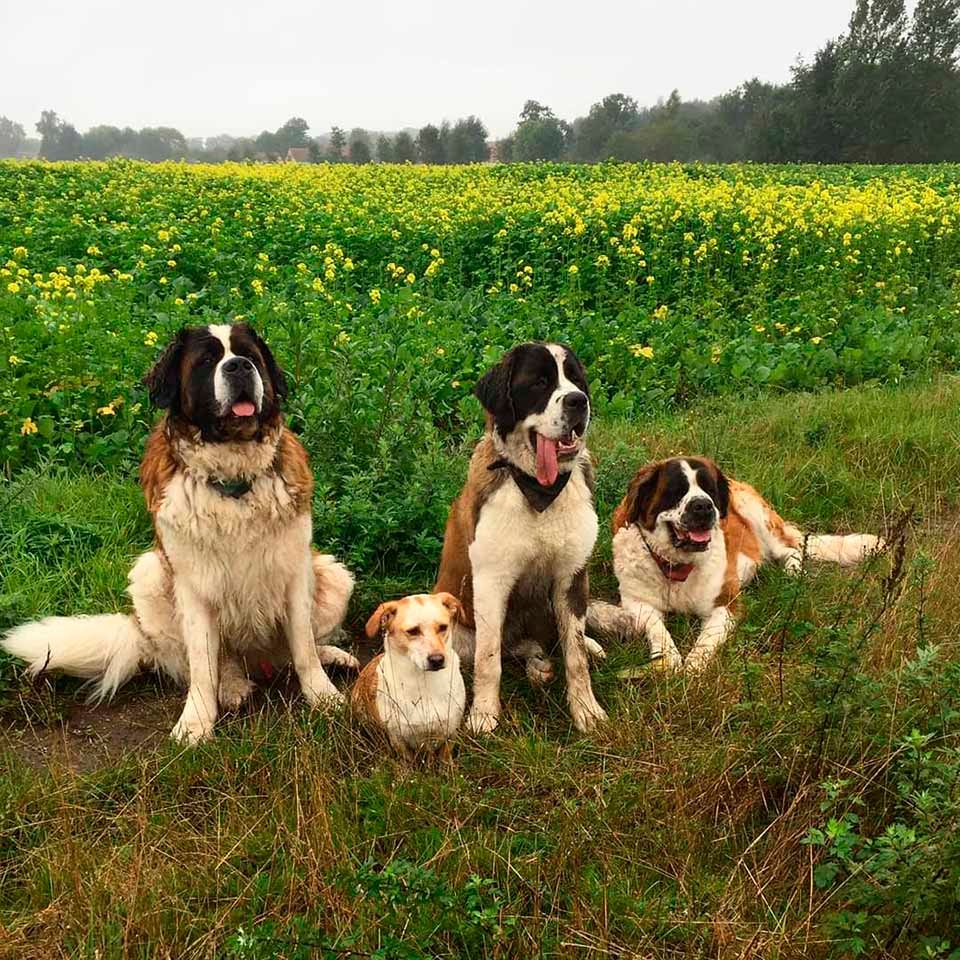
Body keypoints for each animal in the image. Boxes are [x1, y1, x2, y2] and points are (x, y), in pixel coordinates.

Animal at [1, 322, 358, 744]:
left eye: (250, 356)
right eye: (206, 361)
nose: (238, 367)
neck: (233, 481)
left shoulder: (295, 568)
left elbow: (302, 646)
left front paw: (324, 697)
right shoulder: (192, 584)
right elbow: (203, 664)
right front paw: (196, 722)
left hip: (334, 575)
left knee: (293, 650)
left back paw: (331, 656)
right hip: (149, 575)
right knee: (208, 662)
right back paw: (232, 686)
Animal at [352, 588, 468, 760]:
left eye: (443, 627)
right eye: (413, 631)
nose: (437, 660)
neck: (424, 682)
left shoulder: (450, 732)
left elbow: (445, 760)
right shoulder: (398, 738)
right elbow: (407, 762)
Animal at [436, 344, 608, 736]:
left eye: (576, 379)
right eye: (540, 383)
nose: (578, 401)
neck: (538, 490)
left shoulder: (572, 576)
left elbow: (574, 653)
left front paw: (585, 710)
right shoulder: (491, 582)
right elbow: (489, 660)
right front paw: (483, 715)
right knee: (508, 649)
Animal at [588, 460, 888, 672]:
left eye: (709, 489)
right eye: (676, 491)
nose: (704, 506)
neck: (676, 566)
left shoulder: (726, 603)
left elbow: (707, 638)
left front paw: (692, 667)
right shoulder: (637, 603)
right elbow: (656, 628)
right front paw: (670, 659)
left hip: (753, 511)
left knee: (791, 549)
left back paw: (792, 576)